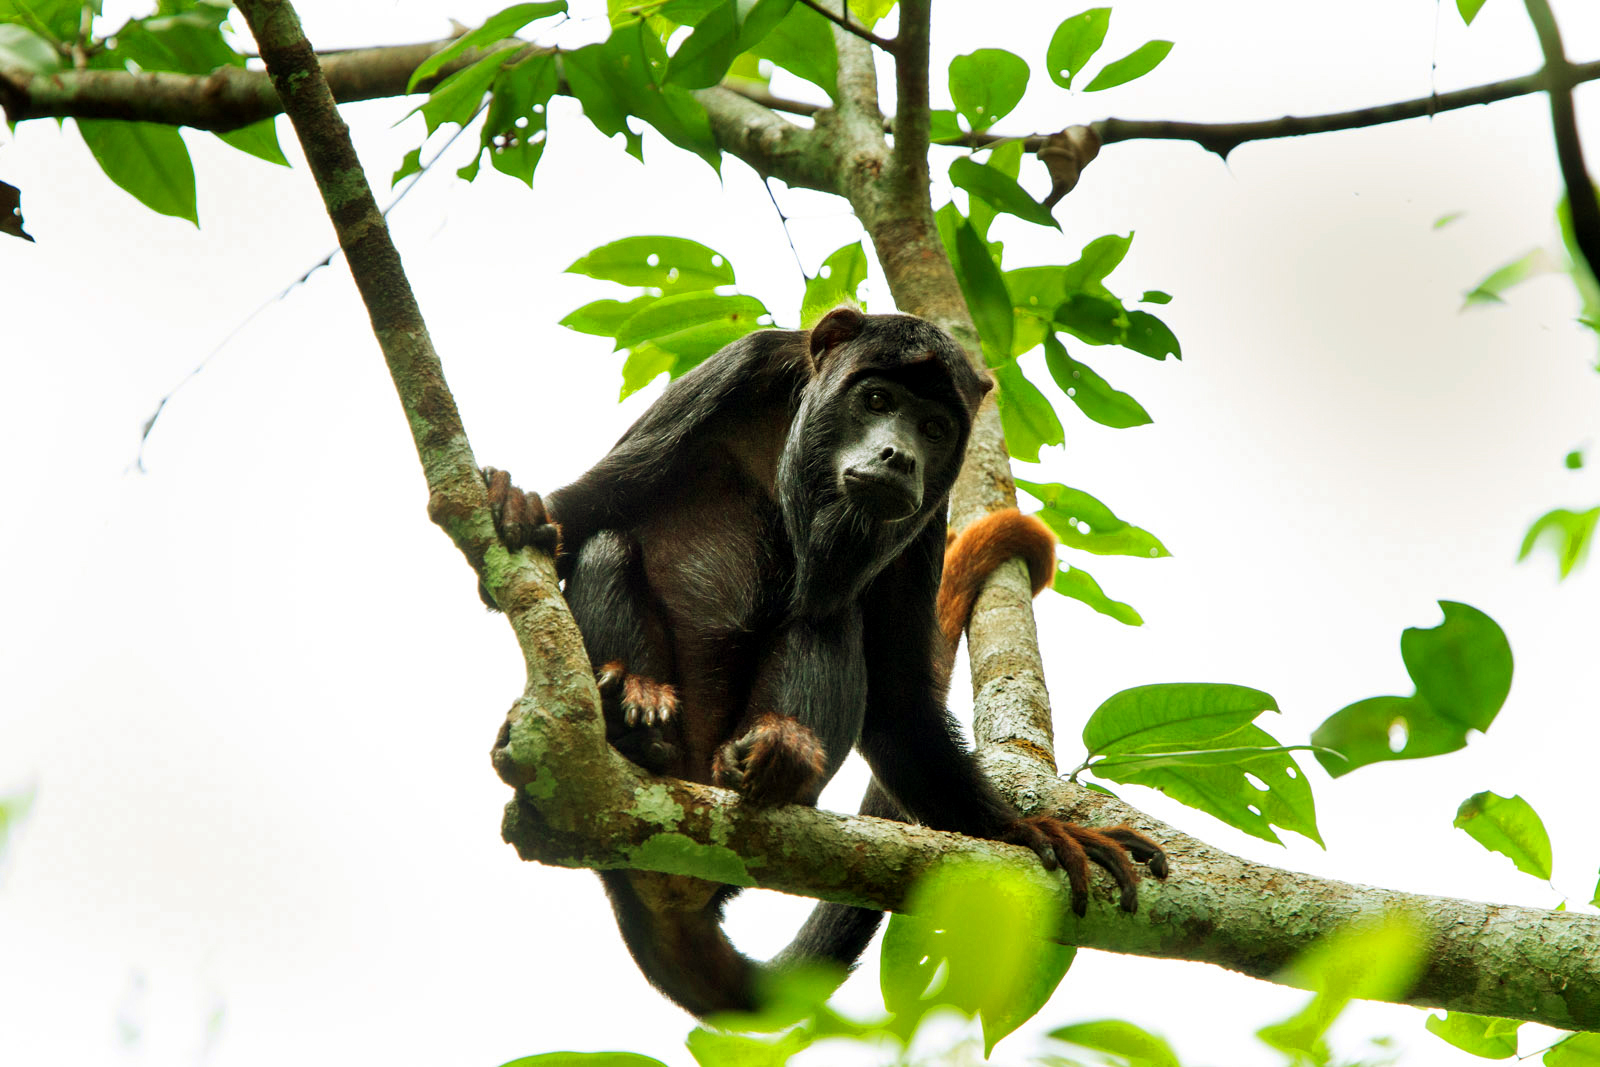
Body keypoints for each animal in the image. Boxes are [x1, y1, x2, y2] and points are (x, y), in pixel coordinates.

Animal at [484, 307, 1166, 1016]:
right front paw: (519, 508)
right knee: (608, 543)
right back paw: (635, 713)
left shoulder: (928, 516)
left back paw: (783, 753)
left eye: (935, 428)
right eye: (877, 400)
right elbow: (585, 511)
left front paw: (1026, 830)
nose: (899, 455)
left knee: (829, 618)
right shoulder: (734, 372)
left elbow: (898, 702)